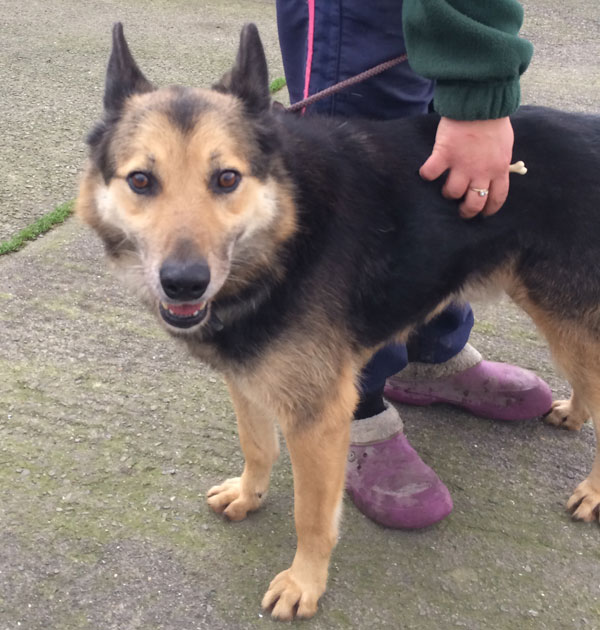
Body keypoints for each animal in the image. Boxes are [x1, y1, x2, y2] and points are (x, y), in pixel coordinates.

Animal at [78, 23, 600, 624]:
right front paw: (250, 494)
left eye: (227, 178)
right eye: (141, 181)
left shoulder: (318, 416)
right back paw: (574, 412)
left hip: (567, 316)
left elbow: (311, 515)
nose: (183, 283)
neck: (287, 234)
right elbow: (257, 446)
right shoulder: (249, 377)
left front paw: (305, 581)